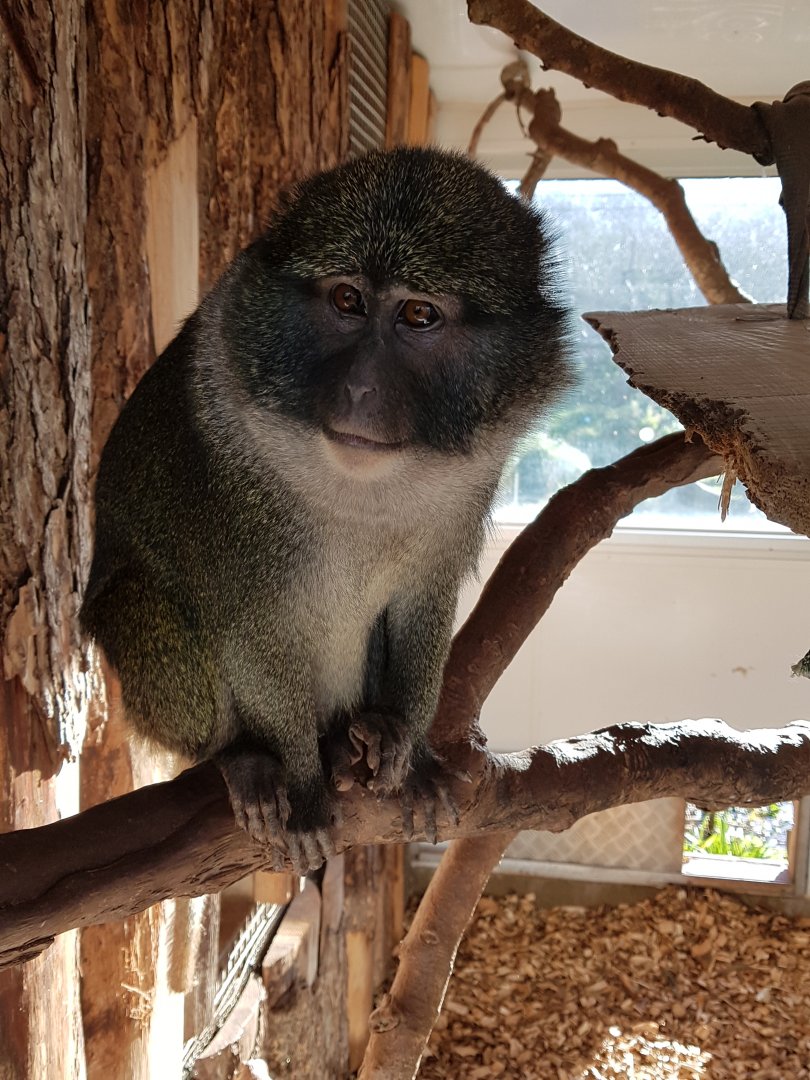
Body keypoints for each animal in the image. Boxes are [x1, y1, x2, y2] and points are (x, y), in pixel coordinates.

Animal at [80, 146, 571, 872]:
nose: (361, 388)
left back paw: (358, 734)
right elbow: (249, 630)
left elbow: (424, 601)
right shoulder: (237, 510)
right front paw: (304, 786)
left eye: (418, 315)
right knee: (137, 603)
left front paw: (407, 748)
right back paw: (243, 757)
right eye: (347, 300)